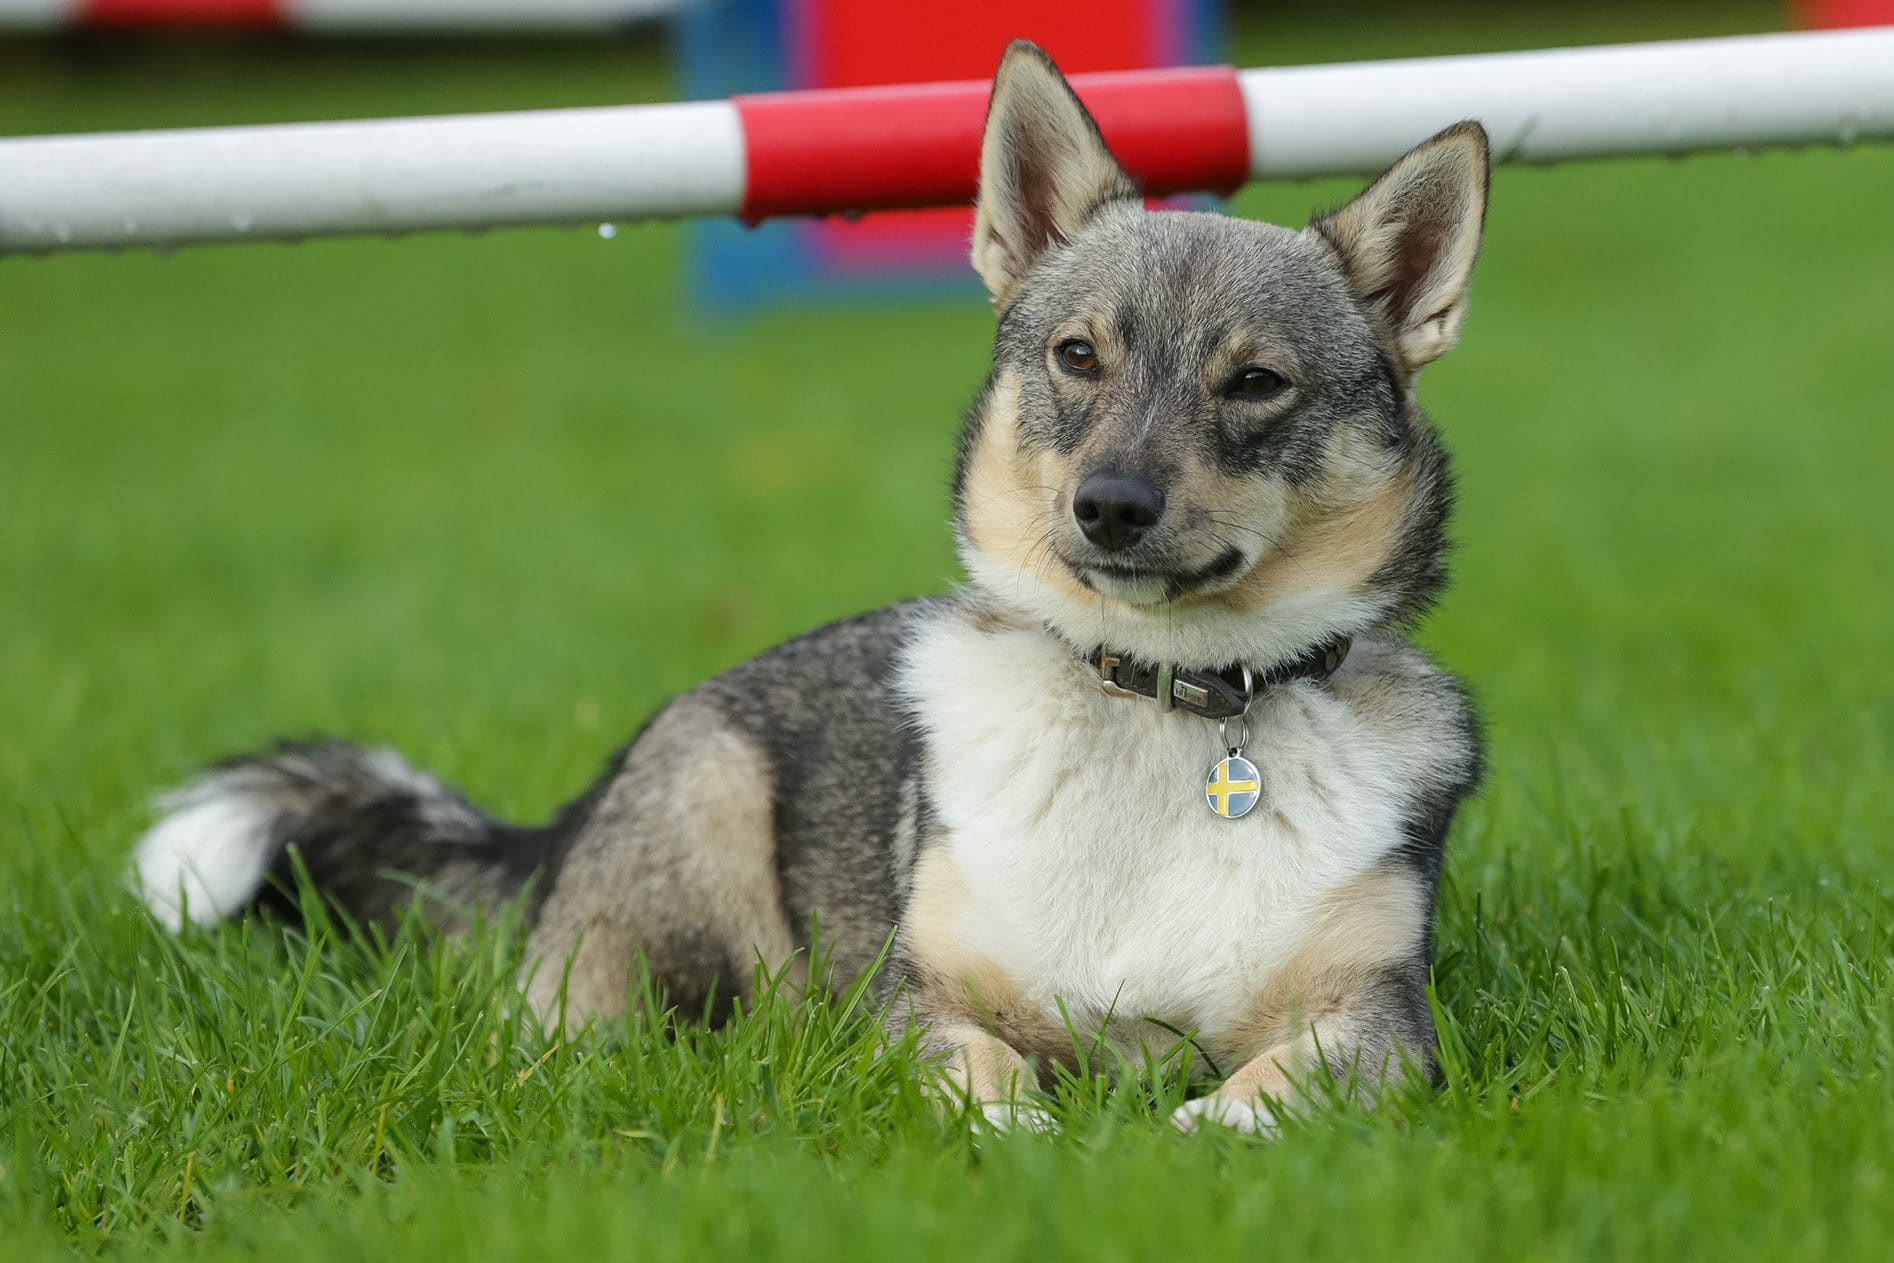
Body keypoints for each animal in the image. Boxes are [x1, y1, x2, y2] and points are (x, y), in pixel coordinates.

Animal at [133, 44, 1492, 1143]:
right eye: (1078, 356)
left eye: (1256, 383)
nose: (1108, 507)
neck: (1155, 705)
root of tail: (571, 813)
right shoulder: (913, 1004)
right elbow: (985, 1076)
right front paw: (1025, 1136)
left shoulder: (1383, 1028)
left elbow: (1270, 1089)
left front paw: (1200, 1130)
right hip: (693, 847)